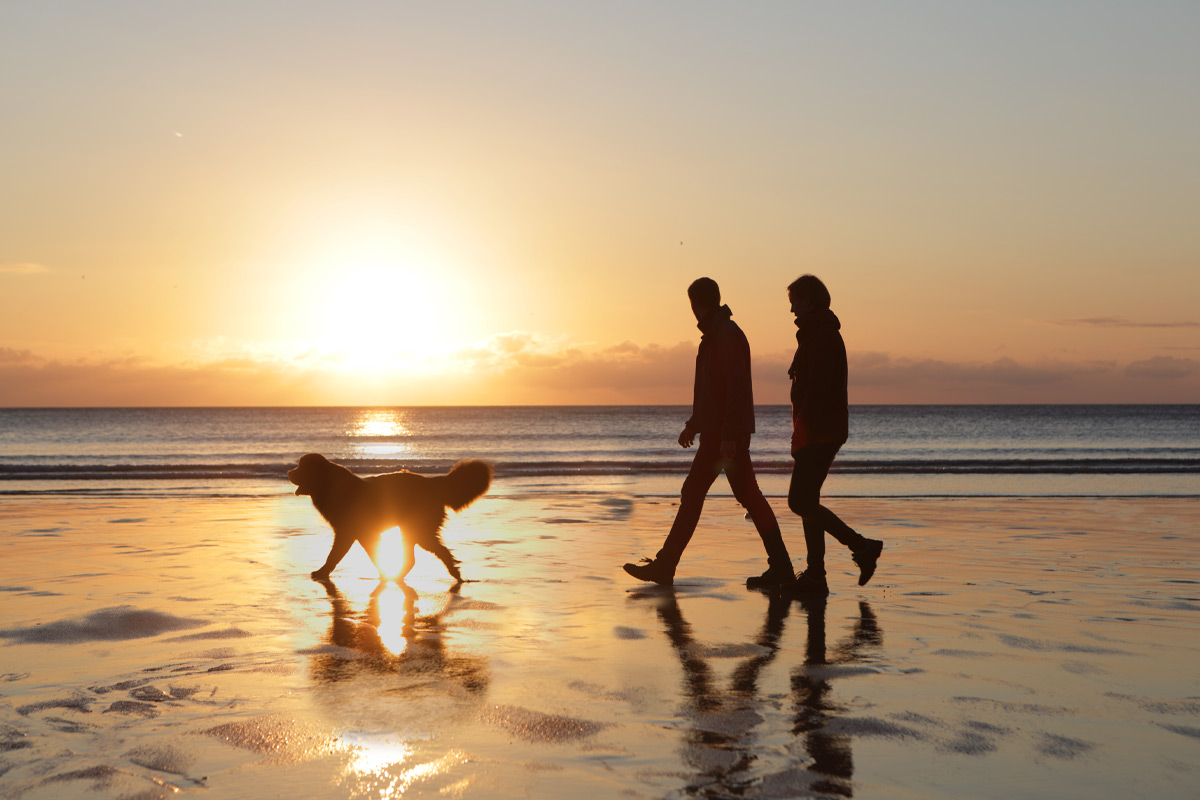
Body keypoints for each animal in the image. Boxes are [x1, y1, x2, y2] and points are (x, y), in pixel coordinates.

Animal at [289, 453, 492, 585]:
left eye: (301, 467)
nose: (289, 473)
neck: (329, 485)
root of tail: (433, 482)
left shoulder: (349, 533)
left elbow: (335, 555)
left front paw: (322, 572)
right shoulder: (357, 534)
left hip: (417, 531)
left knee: (423, 556)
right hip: (413, 531)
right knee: (427, 555)